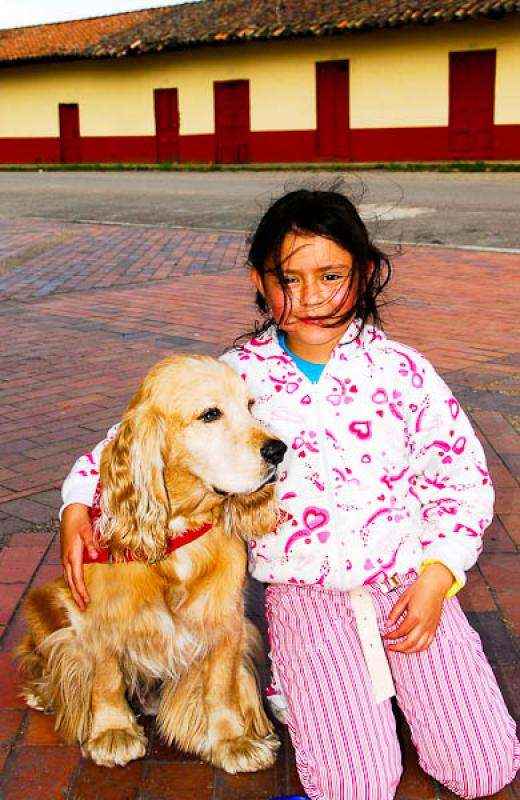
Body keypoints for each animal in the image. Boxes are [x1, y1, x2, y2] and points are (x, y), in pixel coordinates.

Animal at [16, 354, 286, 768]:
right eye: (210, 414)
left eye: (251, 406)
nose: (278, 450)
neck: (178, 531)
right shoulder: (100, 616)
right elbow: (106, 676)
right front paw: (112, 732)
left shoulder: (224, 616)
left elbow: (221, 684)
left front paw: (233, 739)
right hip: (43, 603)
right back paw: (43, 693)